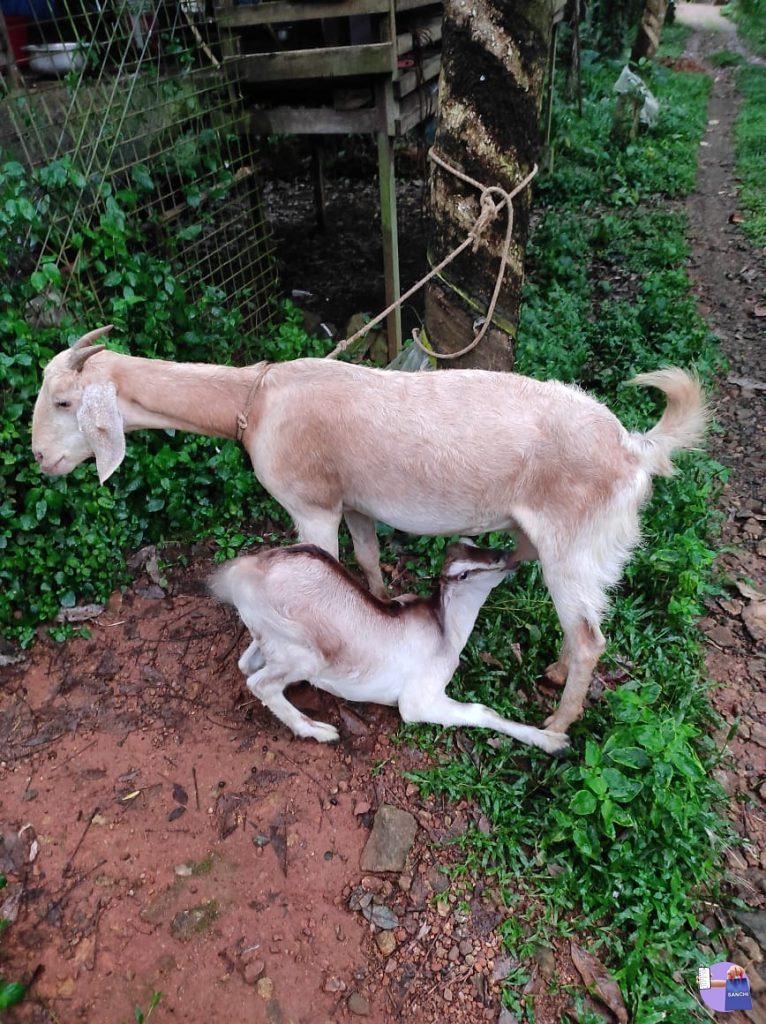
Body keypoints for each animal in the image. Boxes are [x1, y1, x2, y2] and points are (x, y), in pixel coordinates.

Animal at [210, 541, 570, 755]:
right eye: (466, 573)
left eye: (477, 545)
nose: (508, 558)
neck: (446, 631)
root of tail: (248, 571)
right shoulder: (418, 700)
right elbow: (481, 711)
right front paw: (553, 740)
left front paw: (551, 737)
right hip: (304, 653)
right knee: (260, 683)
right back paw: (320, 731)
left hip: (270, 638)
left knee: (246, 664)